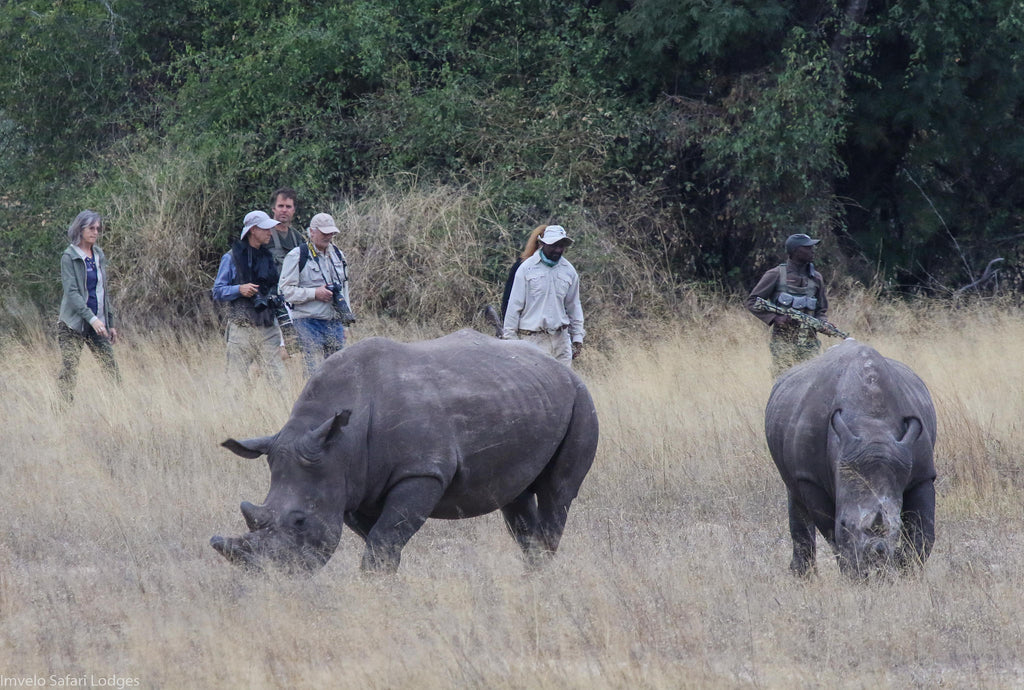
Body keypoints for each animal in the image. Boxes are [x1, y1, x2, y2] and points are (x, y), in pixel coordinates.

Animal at [210, 329, 599, 573]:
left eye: (300, 521)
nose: (270, 577)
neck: (339, 446)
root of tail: (559, 367)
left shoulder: (421, 472)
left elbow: (383, 541)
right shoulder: (354, 485)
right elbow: (382, 543)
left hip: (581, 399)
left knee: (558, 492)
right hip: (523, 395)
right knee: (514, 499)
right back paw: (533, 575)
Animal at [765, 339, 936, 578]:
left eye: (896, 528)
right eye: (845, 523)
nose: (875, 569)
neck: (872, 427)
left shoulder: (923, 473)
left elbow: (924, 530)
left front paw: (906, 569)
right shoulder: (811, 479)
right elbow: (831, 529)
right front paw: (851, 573)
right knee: (794, 493)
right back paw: (803, 576)